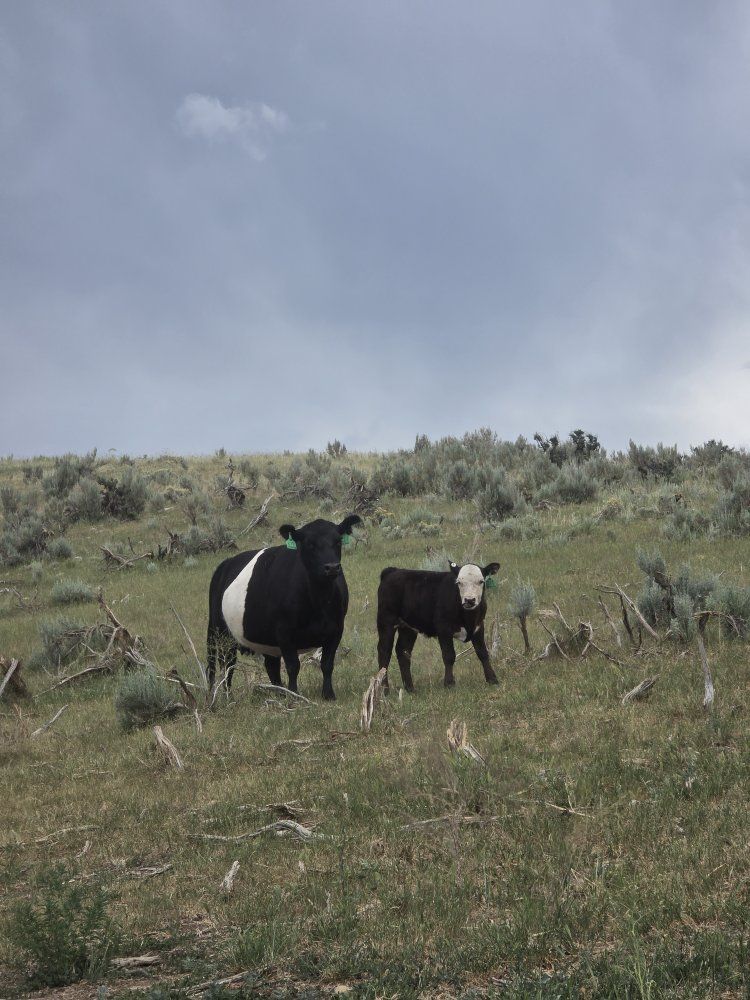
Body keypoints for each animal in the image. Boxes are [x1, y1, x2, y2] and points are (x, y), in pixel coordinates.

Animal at [207, 514, 362, 700]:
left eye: (338, 541)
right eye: (310, 544)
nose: (331, 567)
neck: (318, 602)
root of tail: (226, 563)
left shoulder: (336, 629)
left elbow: (327, 664)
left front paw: (328, 695)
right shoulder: (284, 631)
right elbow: (293, 666)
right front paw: (294, 695)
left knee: (270, 666)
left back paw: (279, 693)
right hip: (222, 634)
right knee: (226, 665)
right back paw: (229, 698)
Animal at [376, 560, 501, 691]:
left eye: (481, 581)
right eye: (459, 582)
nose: (469, 600)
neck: (468, 618)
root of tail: (393, 570)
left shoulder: (478, 627)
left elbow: (483, 653)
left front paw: (492, 679)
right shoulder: (444, 629)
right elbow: (449, 655)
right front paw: (449, 683)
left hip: (408, 627)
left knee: (403, 651)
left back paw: (410, 689)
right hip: (386, 621)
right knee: (384, 651)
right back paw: (384, 689)